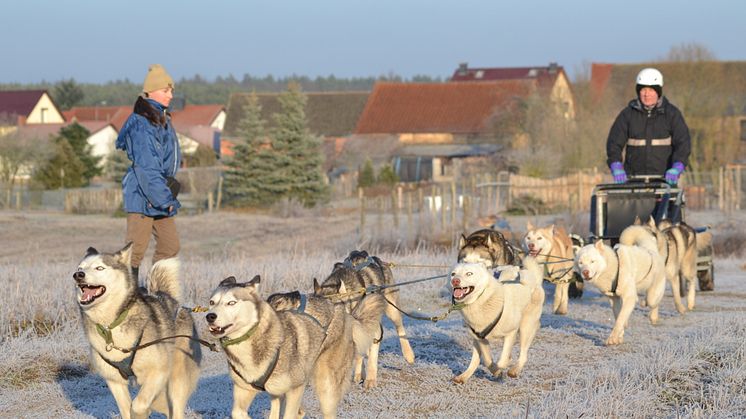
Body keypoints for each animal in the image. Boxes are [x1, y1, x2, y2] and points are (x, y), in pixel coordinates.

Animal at [73, 243, 201, 419]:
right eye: (80, 267)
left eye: (99, 267)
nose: (78, 275)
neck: (110, 326)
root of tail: (172, 300)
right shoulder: (114, 381)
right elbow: (126, 408)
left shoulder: (158, 371)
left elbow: (138, 405)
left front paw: (142, 411)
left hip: (177, 379)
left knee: (174, 407)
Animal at [312, 249, 416, 390]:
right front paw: (358, 373)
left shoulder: (374, 329)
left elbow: (372, 357)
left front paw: (370, 380)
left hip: (391, 309)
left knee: (400, 328)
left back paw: (408, 354)